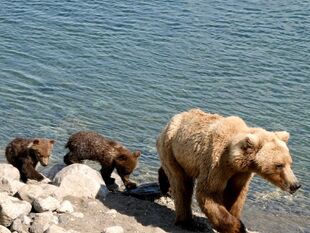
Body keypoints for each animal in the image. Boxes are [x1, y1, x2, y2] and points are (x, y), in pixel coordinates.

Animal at [157, 109, 300, 233]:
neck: (233, 160)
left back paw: (165, 185)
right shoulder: (216, 164)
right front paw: (238, 227)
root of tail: (174, 118)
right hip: (171, 148)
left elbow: (235, 194)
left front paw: (234, 218)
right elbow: (209, 193)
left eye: (290, 163)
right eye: (279, 165)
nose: (295, 185)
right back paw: (187, 222)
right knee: (181, 183)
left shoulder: (241, 173)